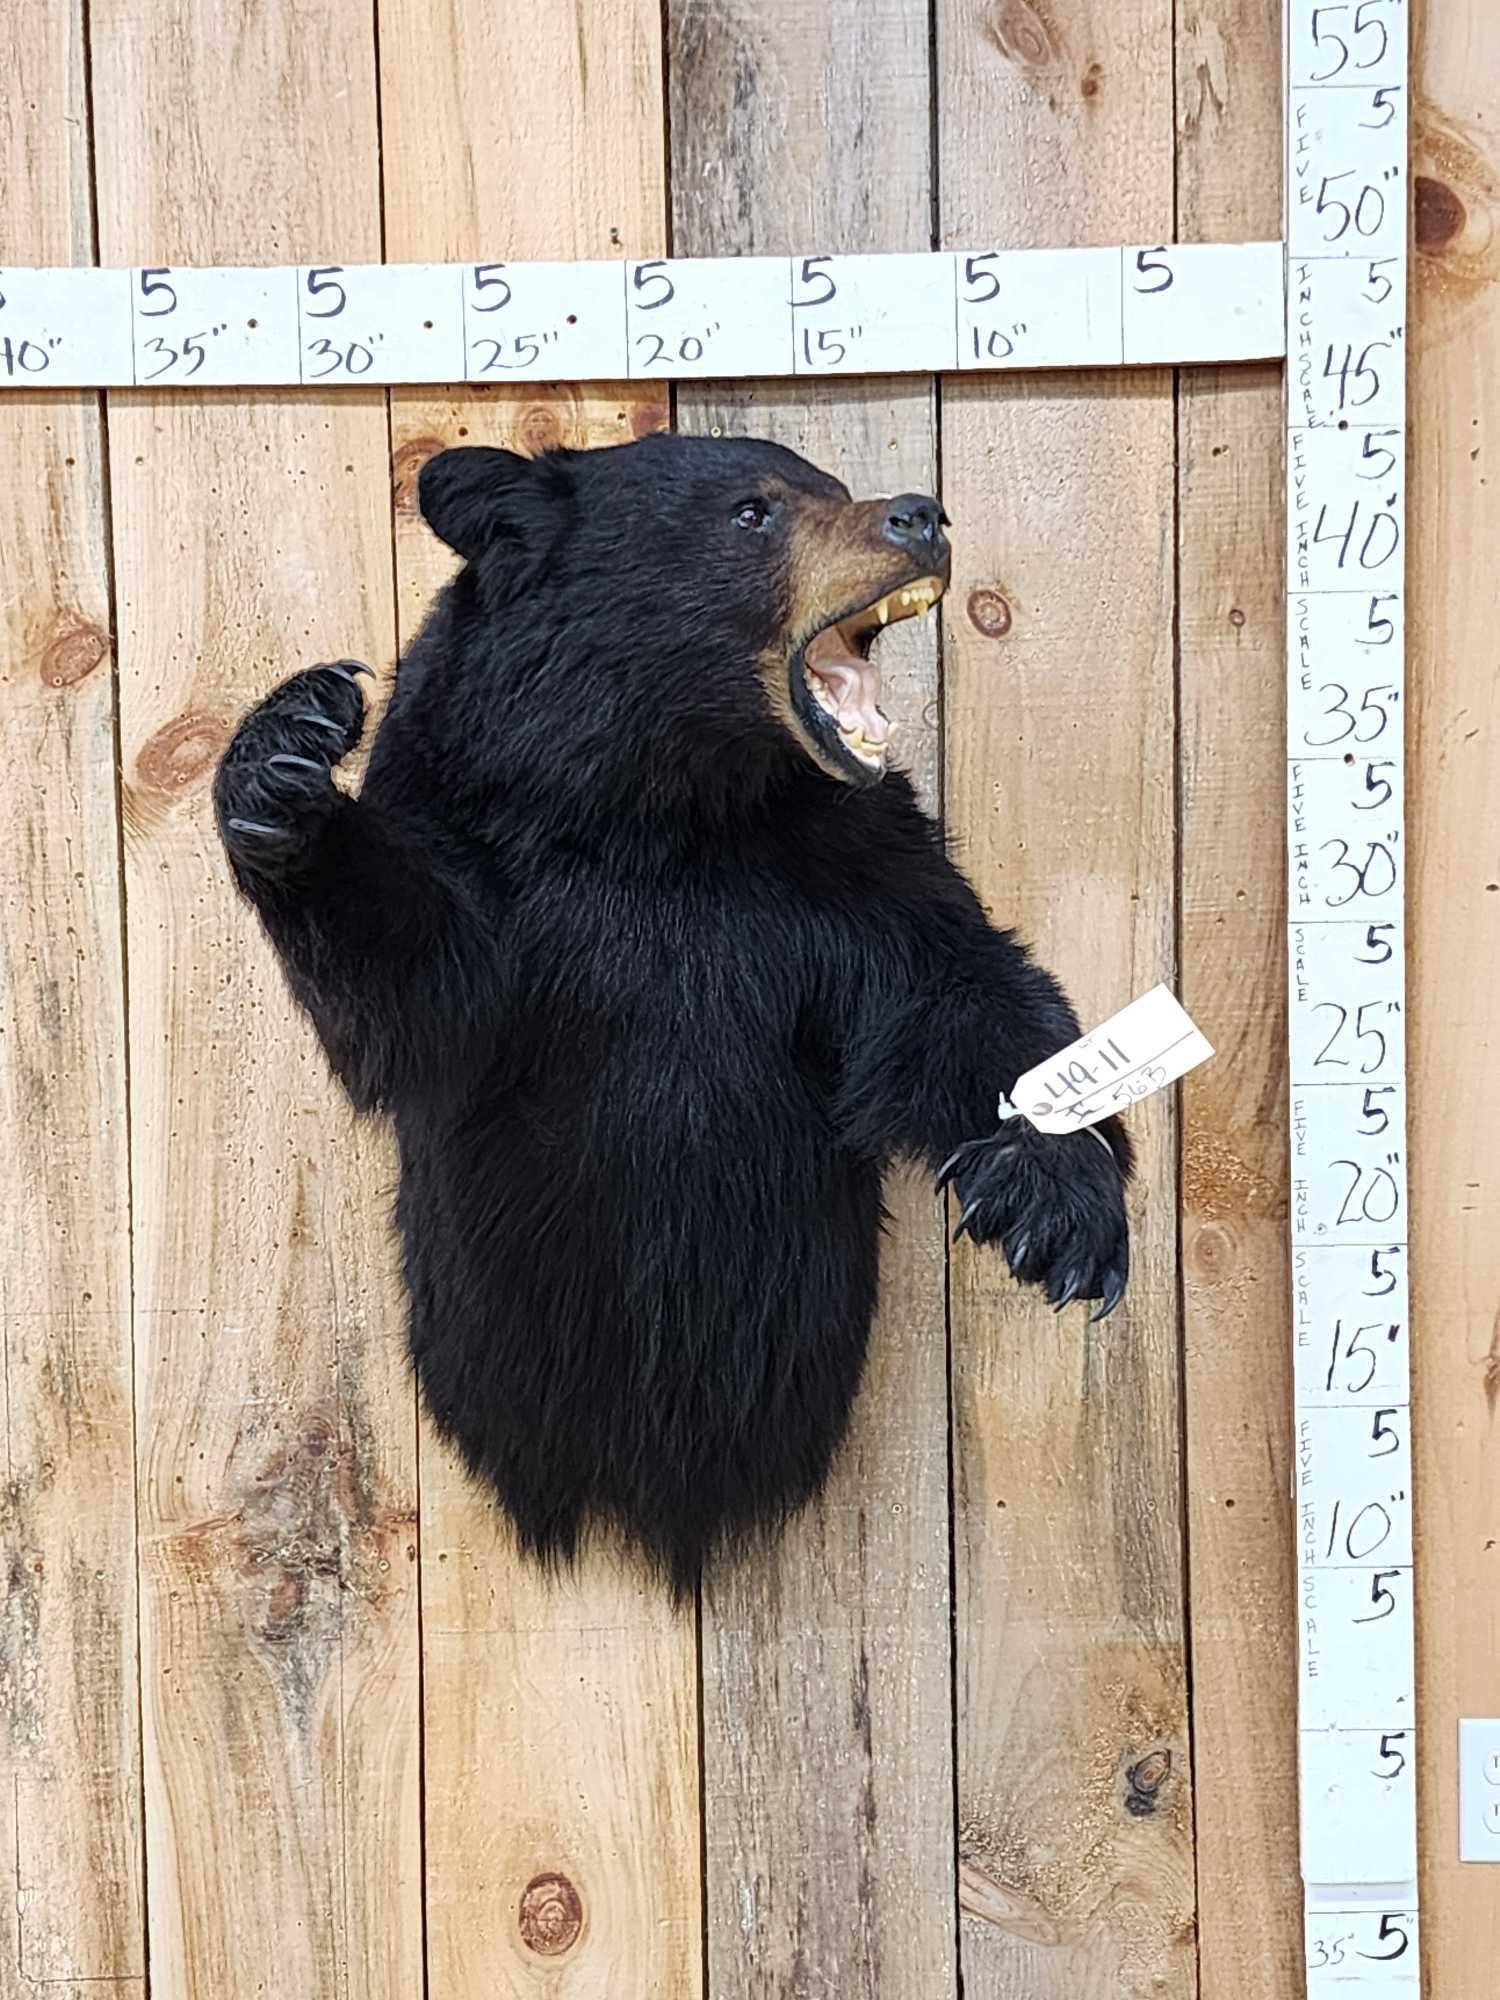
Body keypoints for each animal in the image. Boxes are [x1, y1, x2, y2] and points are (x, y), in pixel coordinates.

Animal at [213, 433, 1131, 1595]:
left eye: (834, 486)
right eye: (755, 511)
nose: (923, 515)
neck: (661, 803)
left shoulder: (851, 856)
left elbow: (959, 988)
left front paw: (1057, 1200)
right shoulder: (478, 833)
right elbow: (413, 989)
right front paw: (286, 753)